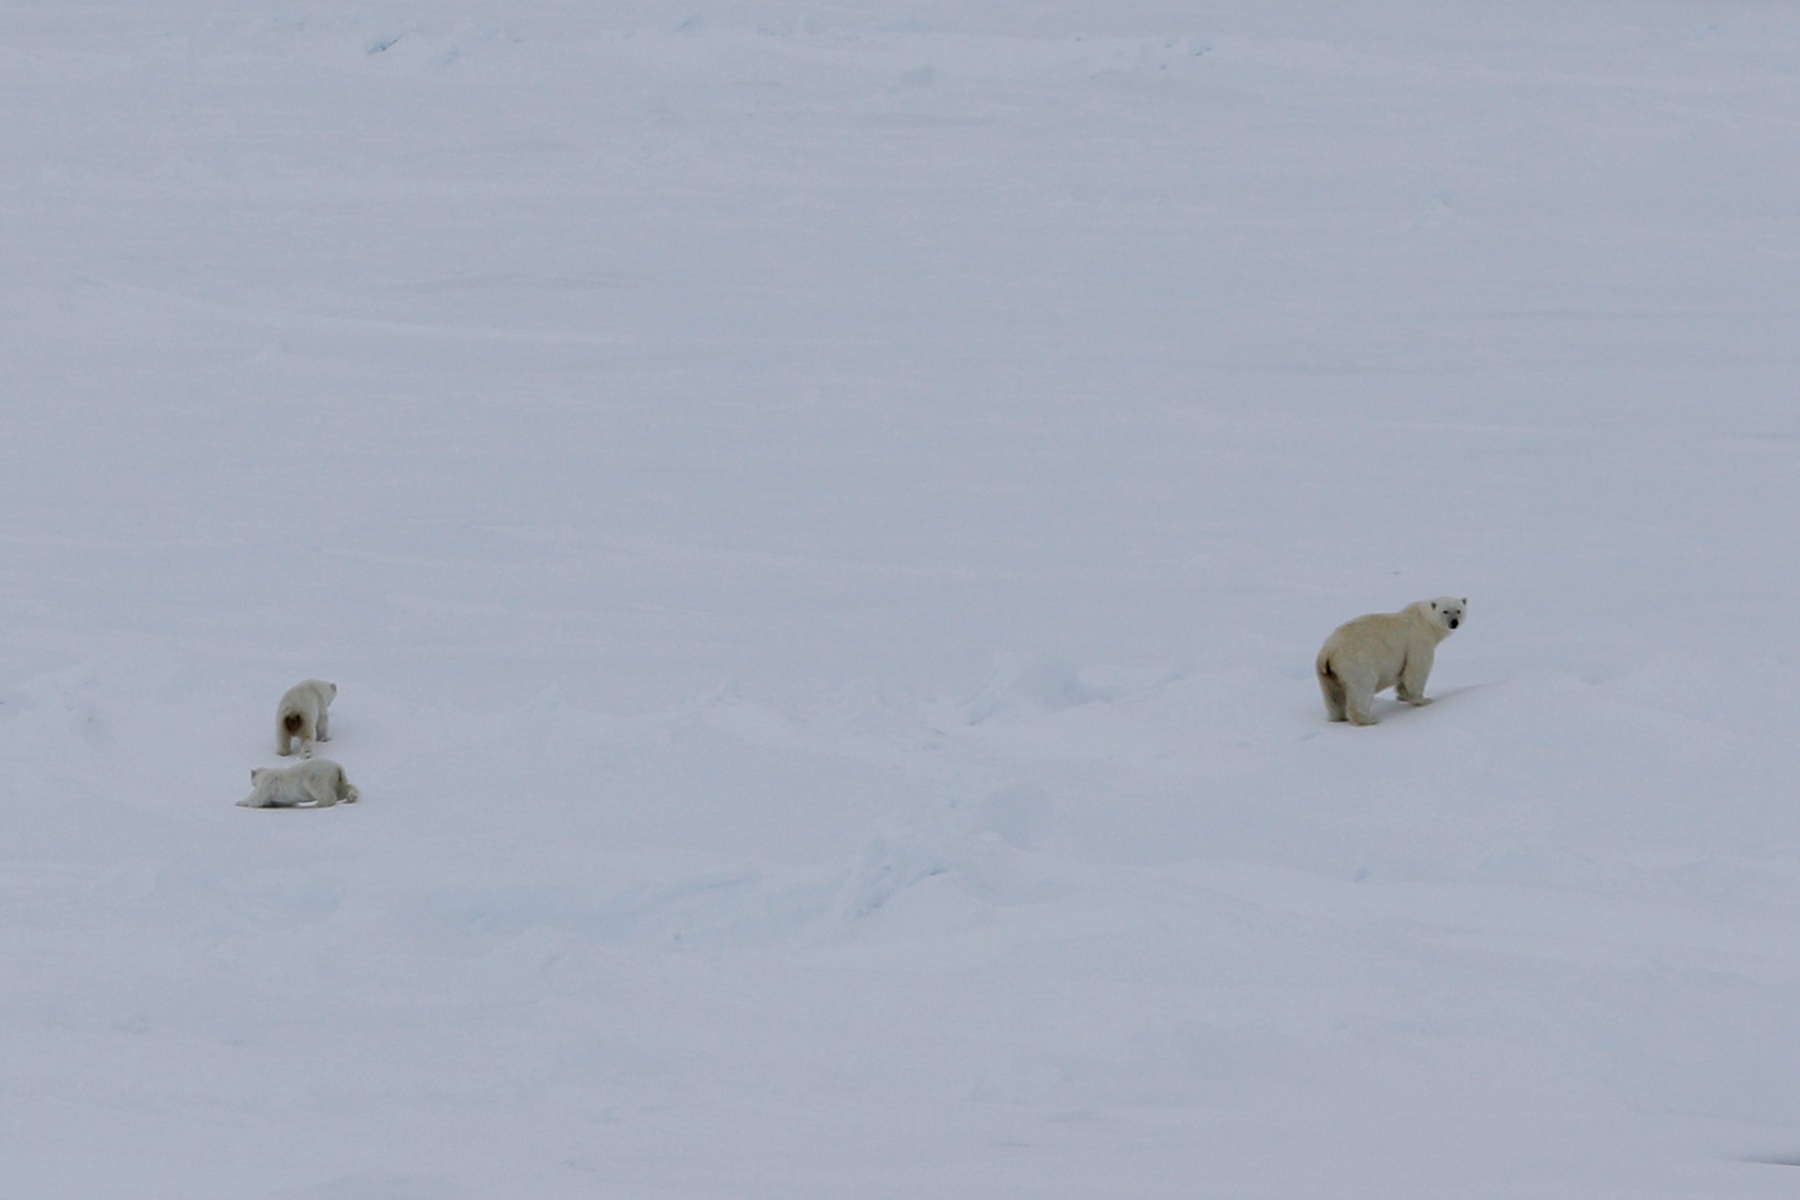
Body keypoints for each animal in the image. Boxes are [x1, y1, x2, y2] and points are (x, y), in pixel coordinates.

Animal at [1317, 597, 1468, 726]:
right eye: (1445, 611)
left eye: (1458, 610)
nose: (1454, 622)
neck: (1423, 620)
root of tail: (1328, 652)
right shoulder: (1418, 641)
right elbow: (1416, 670)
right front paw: (1424, 700)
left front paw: (1403, 695)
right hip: (1356, 662)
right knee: (1361, 689)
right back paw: (1369, 720)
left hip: (1327, 674)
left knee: (1333, 696)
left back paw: (1338, 718)